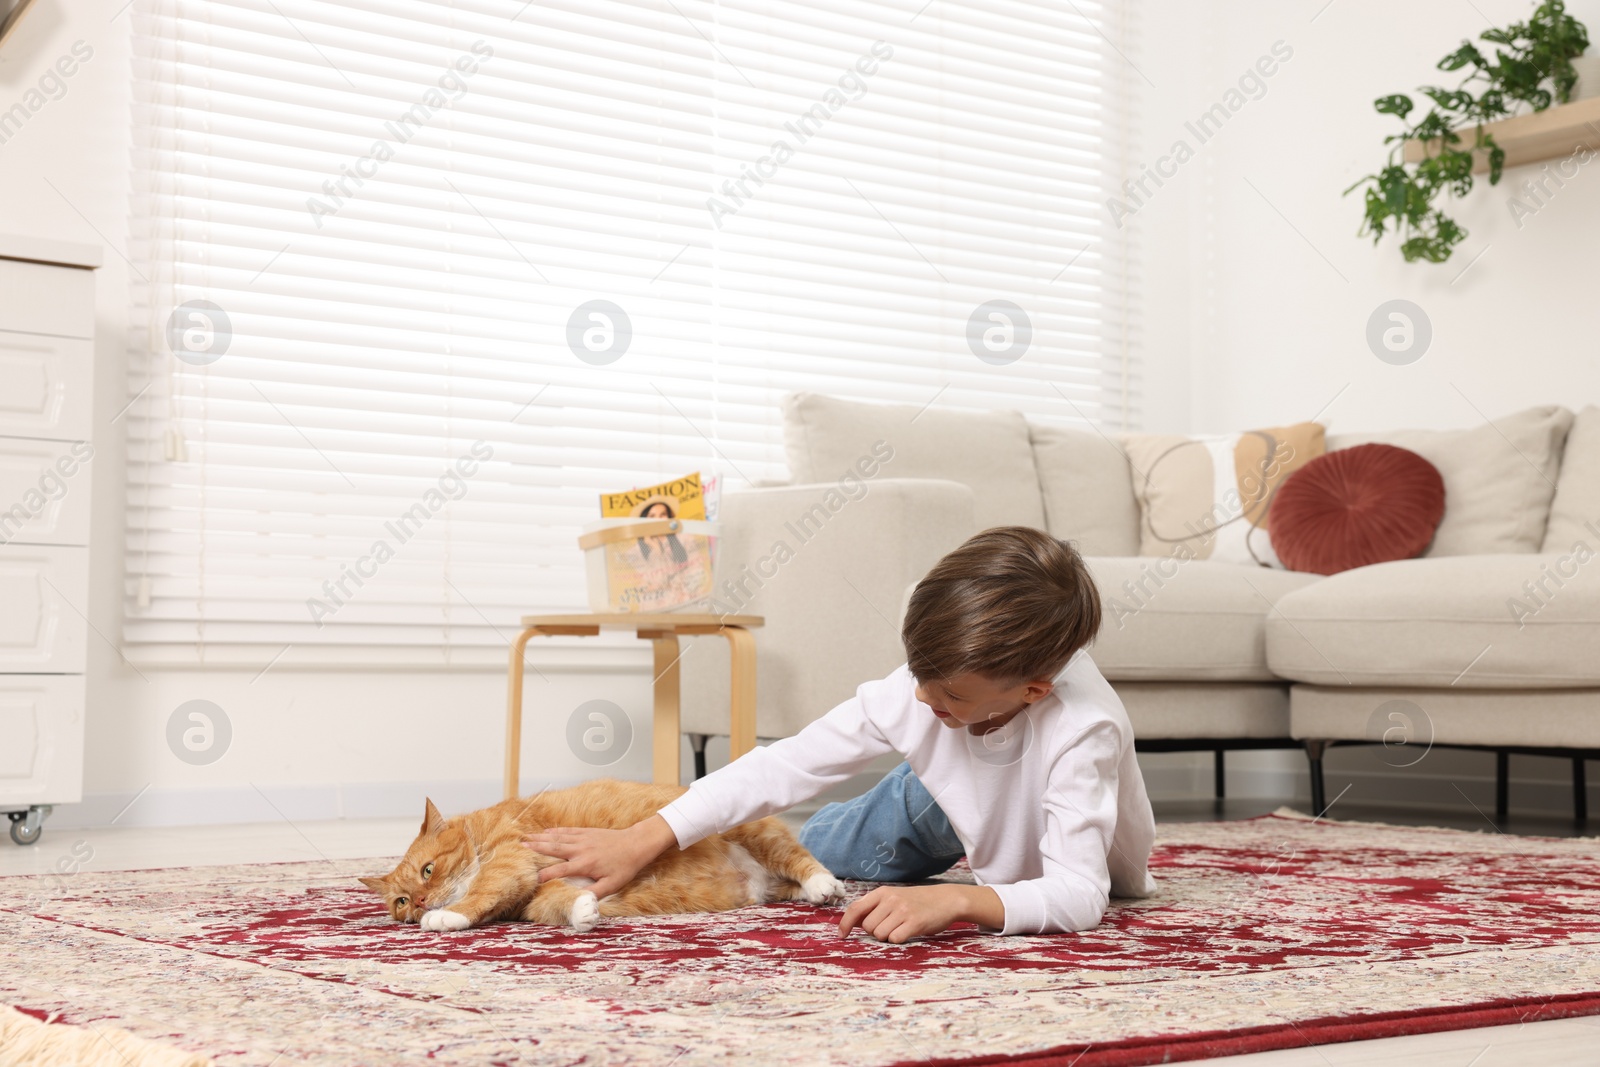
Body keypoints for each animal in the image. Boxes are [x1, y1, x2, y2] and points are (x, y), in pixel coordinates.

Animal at [358, 777, 844, 934]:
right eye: (400, 901)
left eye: (428, 870)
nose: (420, 902)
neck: (481, 834)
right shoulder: (538, 892)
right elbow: (561, 903)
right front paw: (584, 911)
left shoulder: (512, 861)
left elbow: (479, 892)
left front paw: (445, 915)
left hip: (753, 830)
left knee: (799, 856)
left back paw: (824, 885)